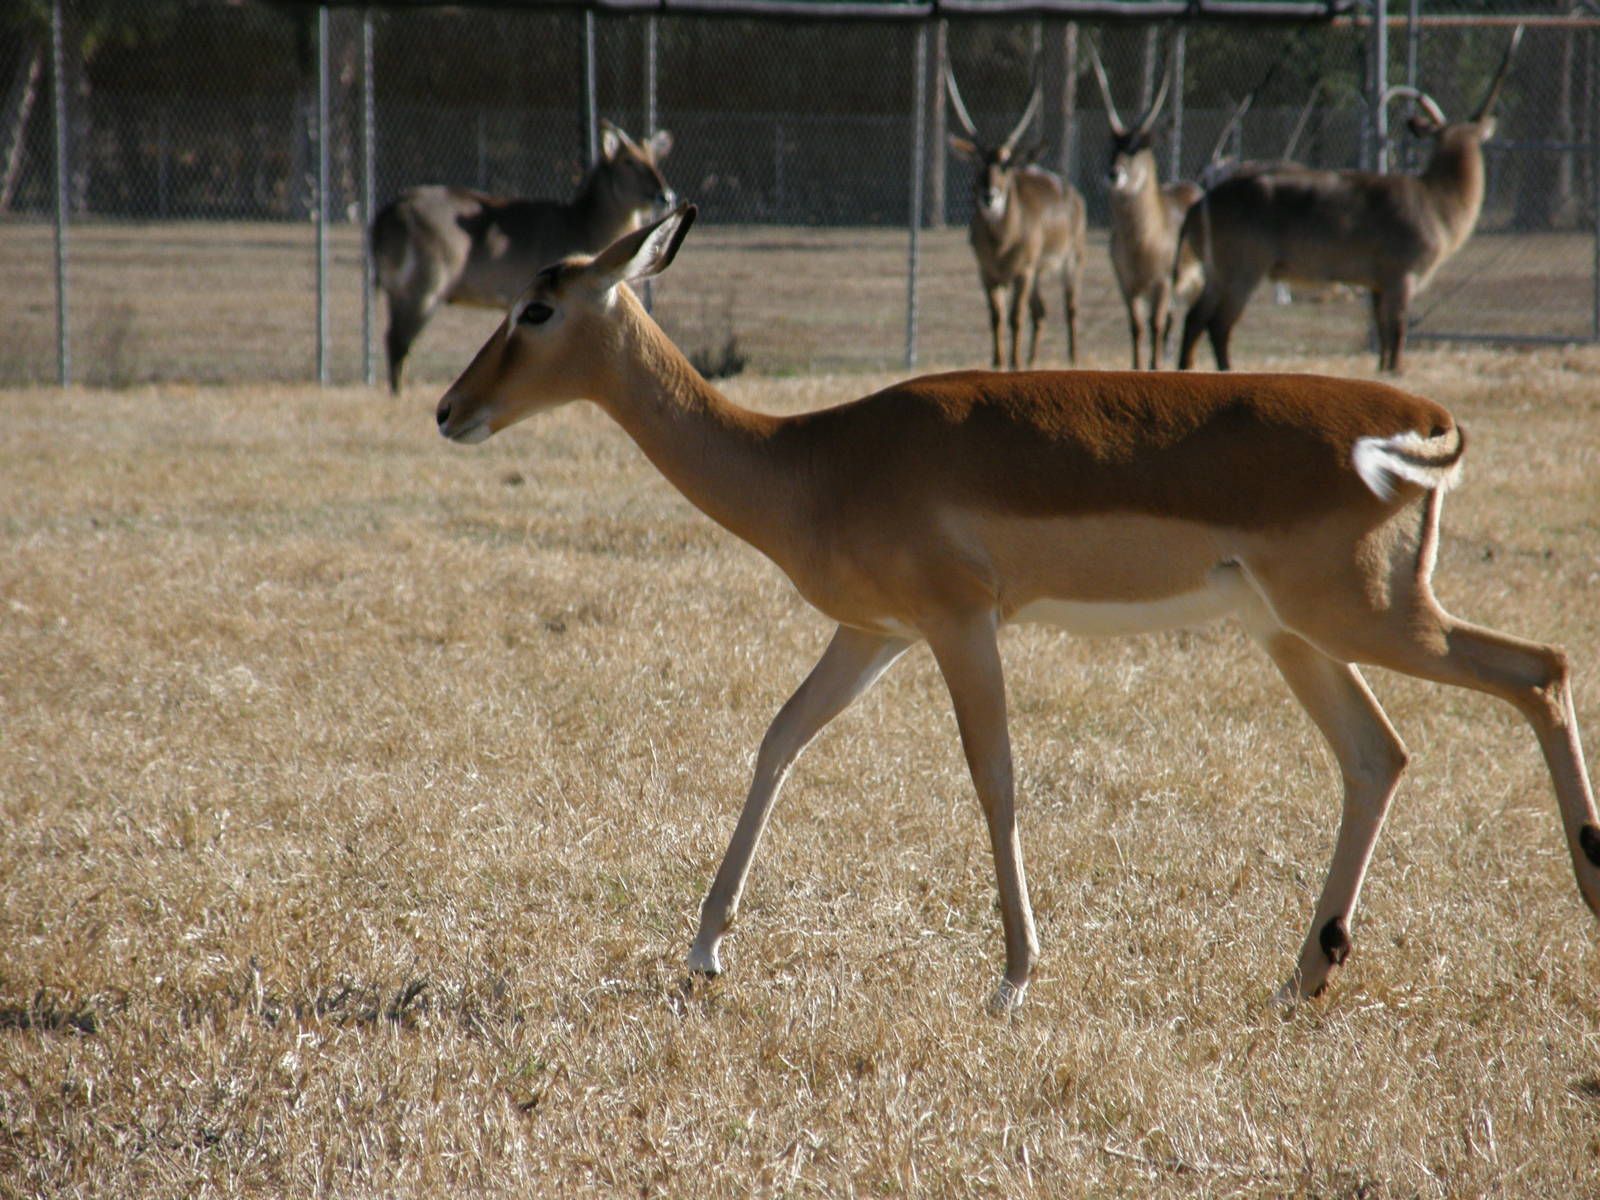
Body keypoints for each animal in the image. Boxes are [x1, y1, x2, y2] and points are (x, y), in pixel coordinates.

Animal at [371, 120, 674, 393]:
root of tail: (388, 213)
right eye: (628, 160)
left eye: (653, 158)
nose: (665, 195)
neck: (582, 222)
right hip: (425, 290)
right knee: (398, 340)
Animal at [436, 204, 1600, 1015]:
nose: (451, 408)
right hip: (1297, 634)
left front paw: (1012, 978)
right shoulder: (873, 634)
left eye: (536, 307)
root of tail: (1423, 419)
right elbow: (779, 741)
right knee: (1378, 755)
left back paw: (1583, 891)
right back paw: (1301, 976)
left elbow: (993, 778)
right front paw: (703, 951)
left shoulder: (960, 626)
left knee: (1539, 667)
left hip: (1372, 618)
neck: (811, 459)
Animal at [946, 67, 1086, 369]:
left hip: (1069, 263)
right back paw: (1033, 361)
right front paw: (998, 362)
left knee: (1069, 307)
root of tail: (1070, 191)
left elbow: (1014, 317)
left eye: (1006, 165)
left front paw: (1014, 363)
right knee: (1040, 311)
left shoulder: (1022, 272)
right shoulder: (988, 274)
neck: (1002, 241)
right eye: (978, 165)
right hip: (1035, 276)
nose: (990, 196)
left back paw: (1072, 358)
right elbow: (996, 317)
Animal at [1088, 44, 1202, 370]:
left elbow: (1155, 325)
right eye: (1112, 147)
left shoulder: (1161, 283)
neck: (1143, 242)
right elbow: (1137, 327)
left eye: (1139, 146)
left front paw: (1155, 368)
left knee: (1182, 324)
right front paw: (1139, 368)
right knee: (1171, 326)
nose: (1114, 174)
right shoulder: (1128, 285)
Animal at [1177, 27, 1521, 373]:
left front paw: (1383, 369)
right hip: (1243, 272)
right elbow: (1397, 328)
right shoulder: (1401, 277)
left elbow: (1382, 330)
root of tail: (1200, 203)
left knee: (1193, 319)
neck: (1436, 198)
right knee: (1218, 324)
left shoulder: (1377, 284)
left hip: (1216, 275)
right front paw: (1397, 370)